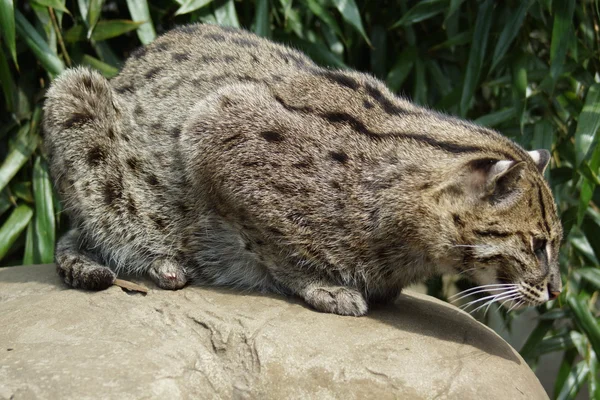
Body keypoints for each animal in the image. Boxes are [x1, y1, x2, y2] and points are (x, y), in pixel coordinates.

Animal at [43, 22, 564, 316]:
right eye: (537, 245)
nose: (557, 292)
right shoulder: (213, 130)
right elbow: (274, 240)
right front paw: (322, 285)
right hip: (73, 92)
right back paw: (160, 260)